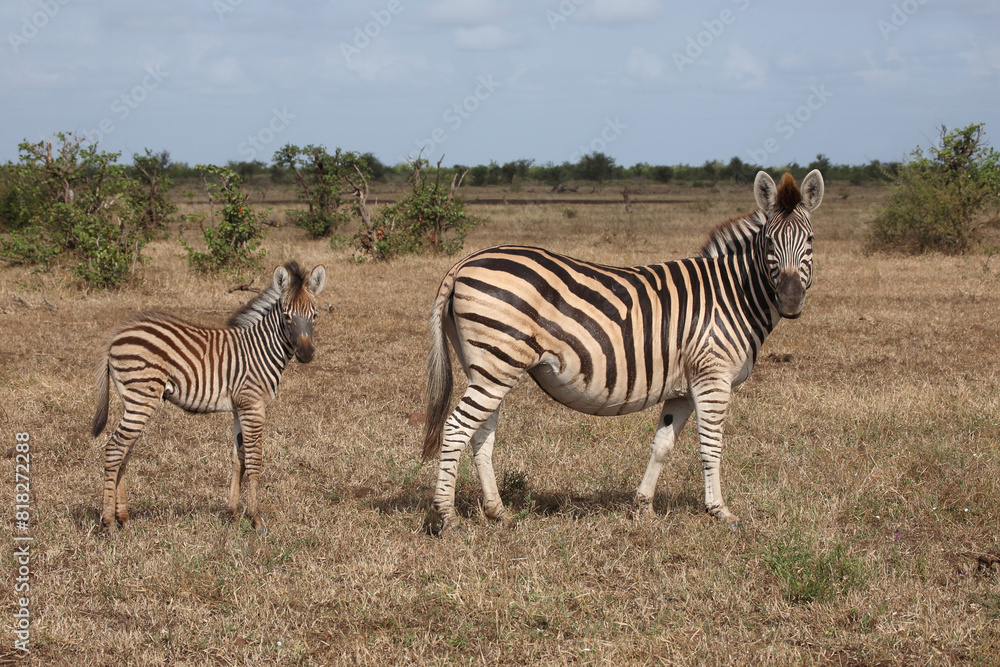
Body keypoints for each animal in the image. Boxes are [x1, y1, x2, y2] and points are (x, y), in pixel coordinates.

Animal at [91, 261, 326, 535]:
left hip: (133, 402)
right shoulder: (253, 406)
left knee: (124, 453)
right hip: (141, 398)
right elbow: (254, 459)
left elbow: (238, 459)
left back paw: (123, 518)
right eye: (287, 316)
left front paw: (233, 514)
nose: (306, 354)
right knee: (114, 449)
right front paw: (256, 519)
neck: (261, 350)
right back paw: (108, 522)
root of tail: (117, 333)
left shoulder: (239, 408)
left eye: (314, 315)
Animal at [422, 170, 823, 532]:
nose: (790, 302)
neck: (733, 294)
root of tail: (464, 262)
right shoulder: (713, 377)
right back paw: (448, 518)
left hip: (487, 367)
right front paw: (720, 511)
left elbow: (663, 444)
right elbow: (711, 446)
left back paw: (497, 512)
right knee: (457, 427)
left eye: (810, 240)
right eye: (769, 243)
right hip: (497, 363)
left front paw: (643, 506)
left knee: (480, 433)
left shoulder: (683, 386)